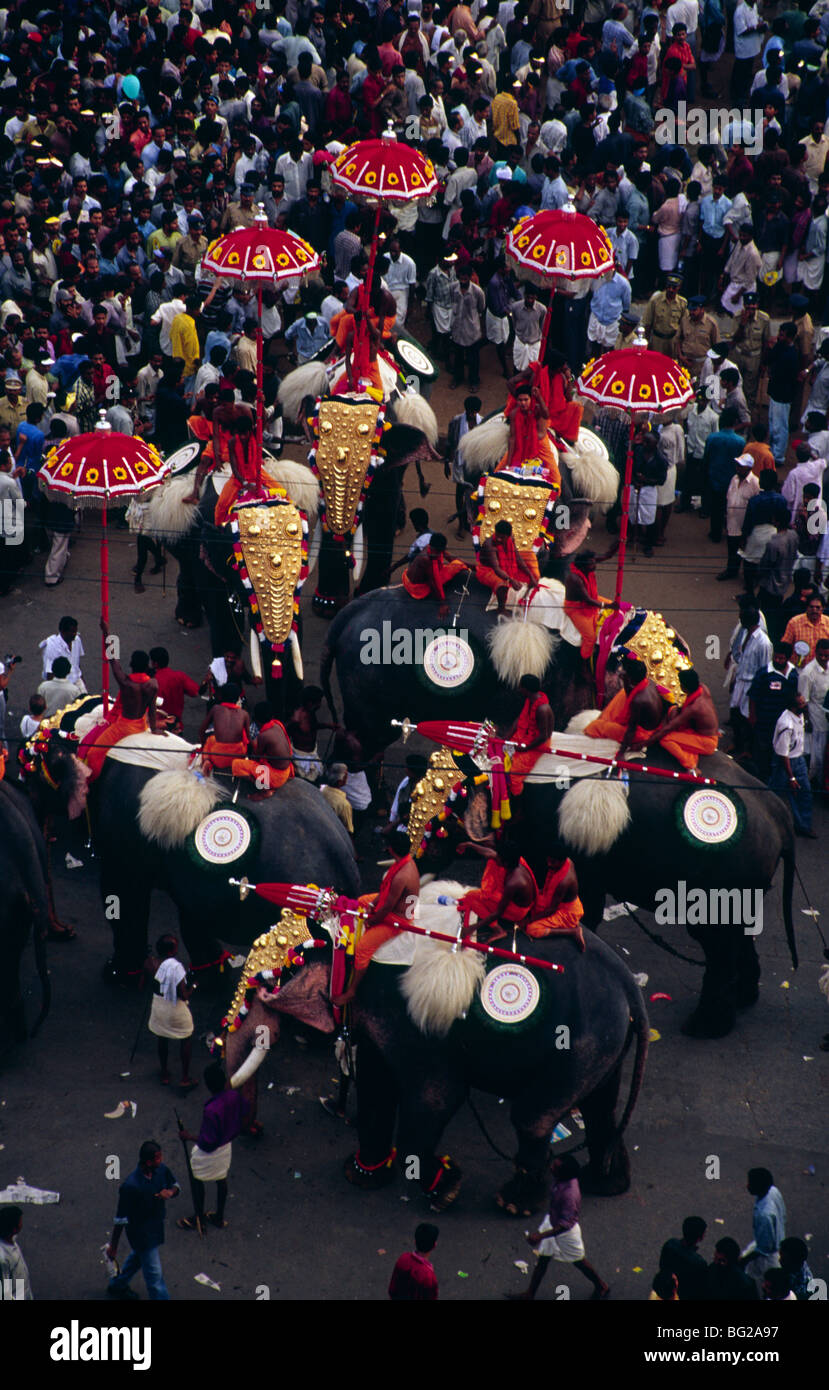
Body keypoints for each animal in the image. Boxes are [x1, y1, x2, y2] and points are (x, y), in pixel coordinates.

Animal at [223, 884, 650, 1212]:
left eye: (263, 987)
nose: (256, 1130)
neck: (352, 931)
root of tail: (630, 987)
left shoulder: (405, 1018)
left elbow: (437, 1096)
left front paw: (445, 1190)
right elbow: (377, 1086)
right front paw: (361, 1174)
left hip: (580, 1042)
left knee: (534, 1118)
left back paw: (512, 1204)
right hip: (602, 1044)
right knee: (599, 1106)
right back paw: (605, 1183)